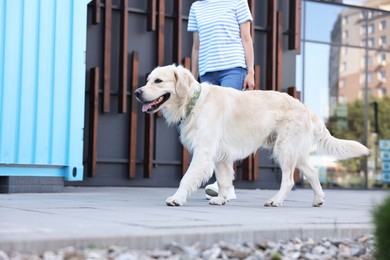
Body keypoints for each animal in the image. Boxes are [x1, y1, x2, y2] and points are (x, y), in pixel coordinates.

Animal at [134, 63, 368, 207]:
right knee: (311, 172)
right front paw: (222, 199)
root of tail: (305, 106)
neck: (194, 101)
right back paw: (318, 199)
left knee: (289, 181)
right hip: (295, 152)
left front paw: (177, 198)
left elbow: (187, 178)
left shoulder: (204, 152)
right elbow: (224, 180)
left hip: (284, 149)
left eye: (158, 81)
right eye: (148, 80)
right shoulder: (221, 156)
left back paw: (276, 201)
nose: (137, 92)